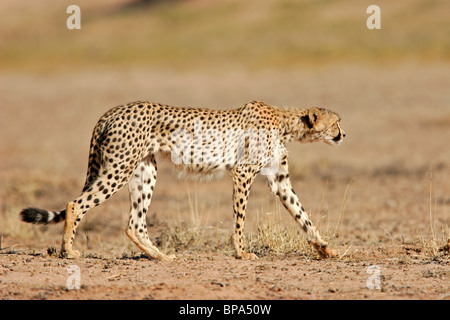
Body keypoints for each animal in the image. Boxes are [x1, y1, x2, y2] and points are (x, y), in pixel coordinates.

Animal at [20, 100, 344, 260]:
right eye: (337, 122)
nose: (344, 134)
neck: (286, 123)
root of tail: (112, 111)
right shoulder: (243, 173)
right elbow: (240, 218)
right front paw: (241, 252)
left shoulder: (280, 179)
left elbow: (303, 214)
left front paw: (325, 248)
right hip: (118, 169)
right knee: (76, 204)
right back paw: (69, 251)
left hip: (145, 172)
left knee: (134, 223)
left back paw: (161, 257)